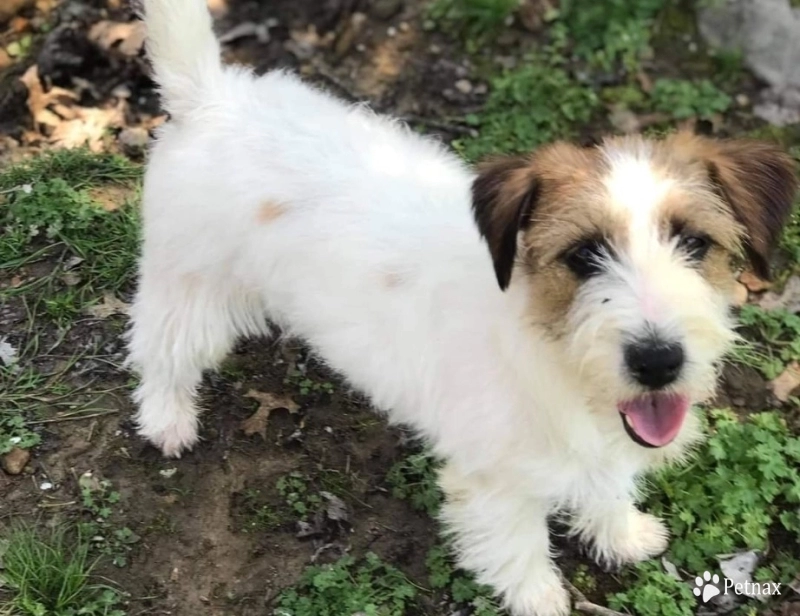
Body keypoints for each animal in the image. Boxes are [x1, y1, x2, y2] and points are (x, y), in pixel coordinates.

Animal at [128, 2, 796, 612]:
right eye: (583, 254)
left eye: (695, 242)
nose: (658, 362)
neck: (542, 342)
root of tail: (211, 96)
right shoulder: (495, 484)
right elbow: (519, 547)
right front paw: (541, 599)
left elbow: (607, 482)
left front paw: (621, 533)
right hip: (188, 287)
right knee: (159, 351)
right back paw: (167, 420)